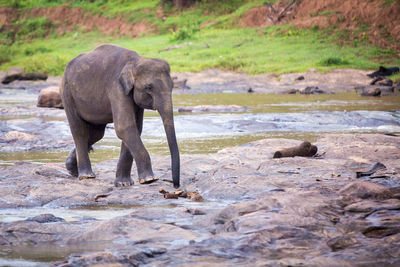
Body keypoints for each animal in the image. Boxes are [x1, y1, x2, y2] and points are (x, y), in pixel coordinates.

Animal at [60, 44, 180, 188]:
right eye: (149, 87)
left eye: (172, 86)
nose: (176, 185)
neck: (136, 61)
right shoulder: (117, 87)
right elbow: (125, 126)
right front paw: (149, 179)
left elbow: (135, 128)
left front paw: (124, 183)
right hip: (67, 93)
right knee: (80, 131)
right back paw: (86, 176)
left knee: (96, 134)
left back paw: (72, 169)